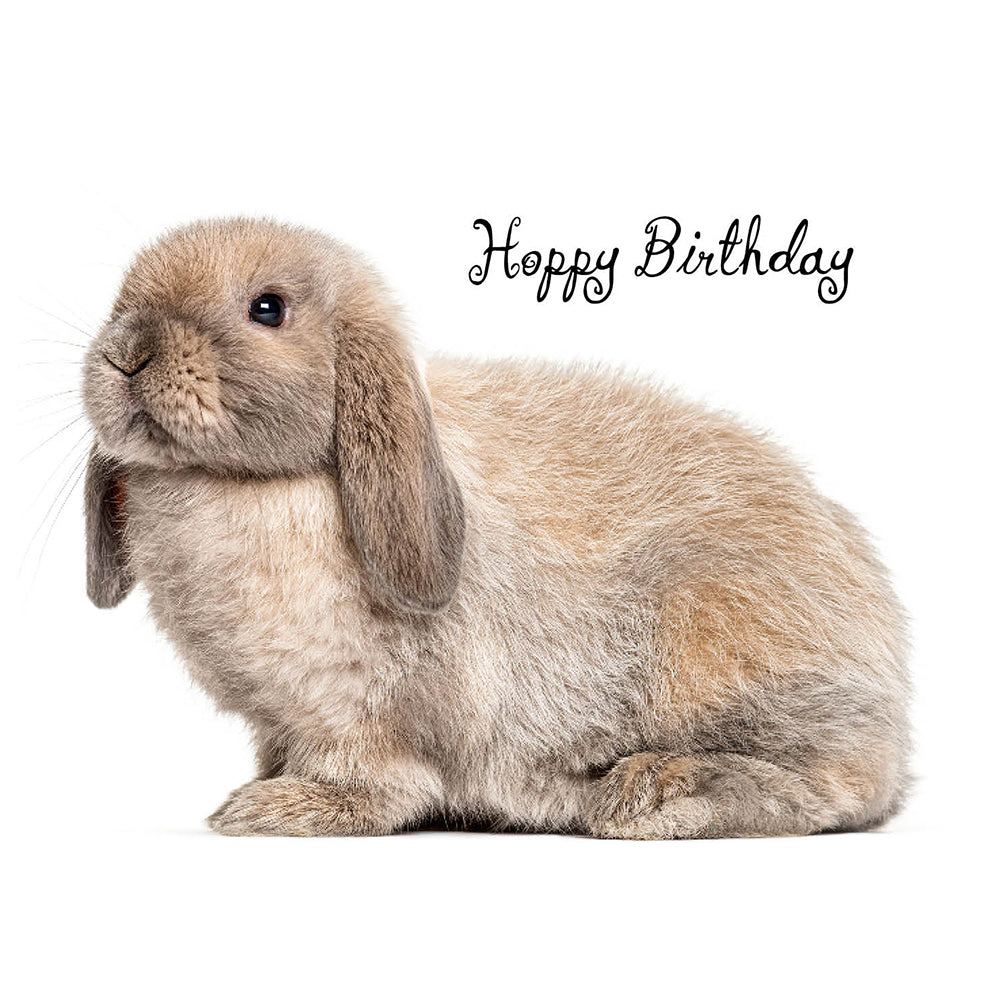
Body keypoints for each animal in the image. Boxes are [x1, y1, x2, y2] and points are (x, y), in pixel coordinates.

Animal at [81, 217, 911, 839]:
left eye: (267, 308)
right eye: (120, 297)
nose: (126, 353)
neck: (242, 484)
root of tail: (892, 684)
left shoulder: (361, 714)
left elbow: (376, 779)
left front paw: (281, 808)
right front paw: (264, 789)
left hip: (716, 645)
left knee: (841, 789)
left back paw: (650, 794)